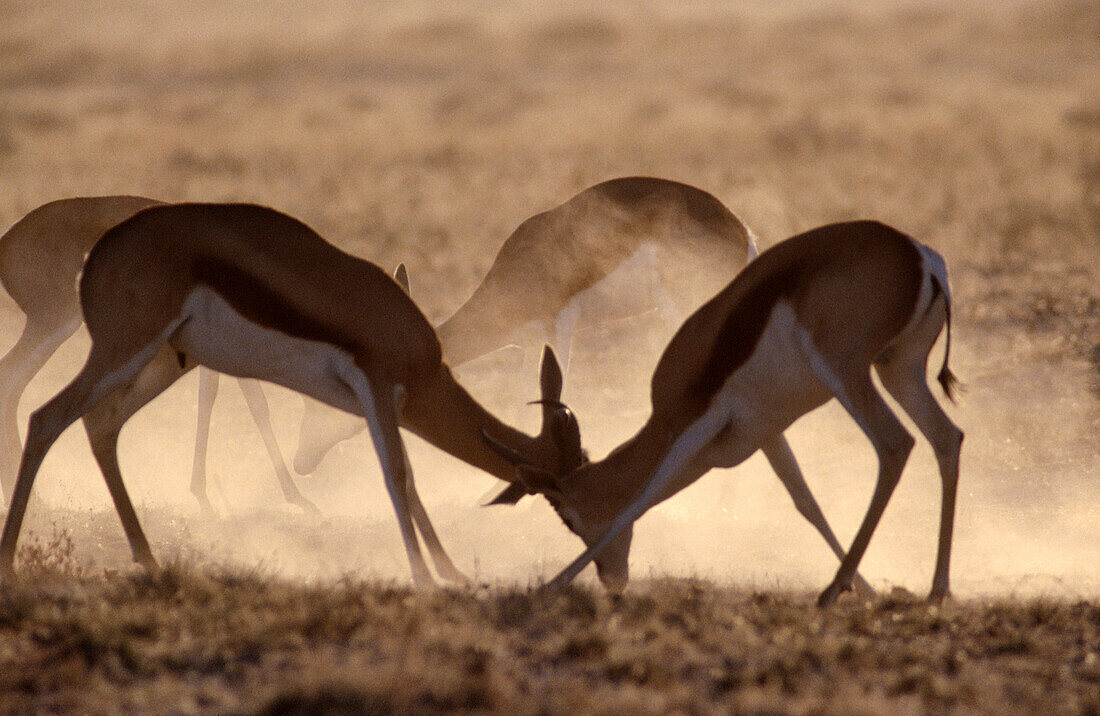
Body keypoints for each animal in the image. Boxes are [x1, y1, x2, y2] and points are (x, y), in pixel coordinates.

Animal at [1, 195, 319, 514]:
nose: (304, 465)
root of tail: (8, 241)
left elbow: (210, 397)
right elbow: (254, 405)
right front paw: (299, 499)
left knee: (14, 384)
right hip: (57, 323)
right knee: (13, 379)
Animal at [490, 219, 963, 607]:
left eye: (569, 518)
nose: (612, 581)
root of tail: (919, 256)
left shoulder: (696, 425)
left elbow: (641, 499)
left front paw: (549, 585)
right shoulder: (764, 431)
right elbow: (806, 501)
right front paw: (867, 589)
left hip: (847, 372)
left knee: (895, 443)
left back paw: (831, 592)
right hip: (898, 369)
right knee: (947, 438)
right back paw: (936, 592)